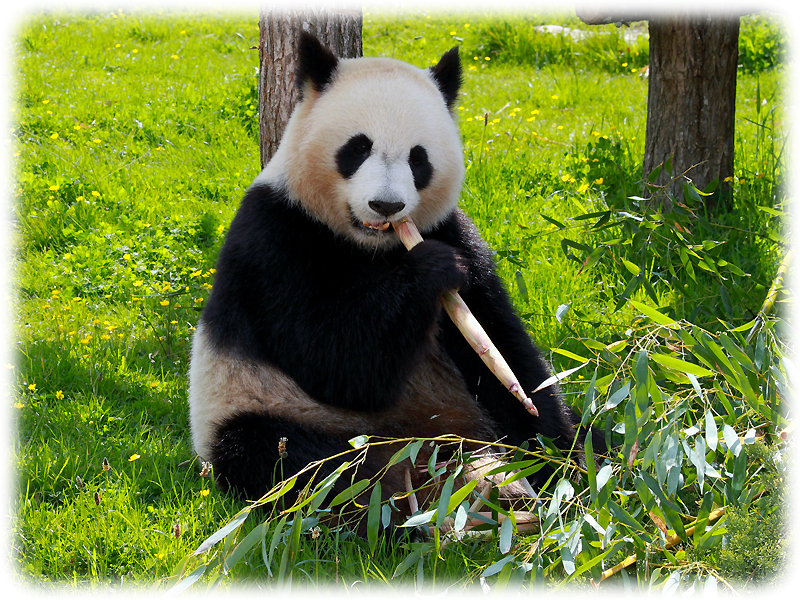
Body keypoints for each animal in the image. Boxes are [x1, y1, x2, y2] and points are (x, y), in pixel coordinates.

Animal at [188, 32, 601, 511]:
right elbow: (337, 360)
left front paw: (558, 455)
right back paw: (399, 498)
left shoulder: (452, 230)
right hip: (262, 406)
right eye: (357, 148)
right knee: (288, 461)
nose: (386, 205)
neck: (372, 247)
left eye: (418, 159)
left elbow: (504, 350)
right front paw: (432, 268)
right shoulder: (275, 237)